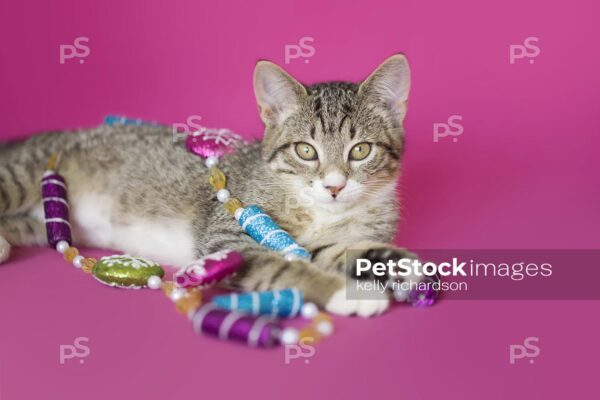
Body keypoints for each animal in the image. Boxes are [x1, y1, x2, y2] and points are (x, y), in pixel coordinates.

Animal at [1, 54, 418, 318]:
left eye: (360, 150)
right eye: (305, 150)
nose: (334, 186)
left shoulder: (329, 241)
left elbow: (347, 250)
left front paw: (403, 265)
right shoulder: (230, 237)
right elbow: (284, 267)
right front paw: (346, 293)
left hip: (44, 220)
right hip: (24, 176)